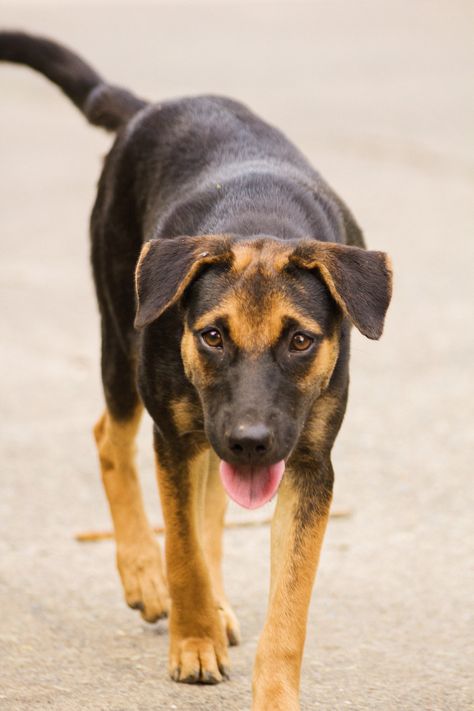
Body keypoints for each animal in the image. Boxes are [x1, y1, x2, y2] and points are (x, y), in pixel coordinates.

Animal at [0, 33, 392, 711]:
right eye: (211, 335)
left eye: (300, 340)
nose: (251, 441)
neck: (261, 222)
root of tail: (148, 107)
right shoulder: (176, 438)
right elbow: (182, 547)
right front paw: (192, 642)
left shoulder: (309, 465)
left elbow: (290, 603)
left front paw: (274, 691)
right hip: (123, 342)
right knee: (111, 438)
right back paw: (143, 574)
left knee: (211, 496)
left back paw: (216, 601)